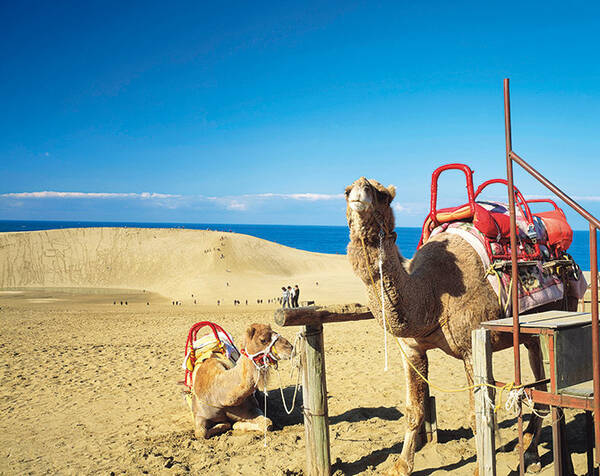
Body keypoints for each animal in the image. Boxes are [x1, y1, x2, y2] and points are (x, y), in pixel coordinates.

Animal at [344, 178, 580, 476]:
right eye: (346, 191)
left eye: (383, 196)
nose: (358, 193)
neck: (431, 294)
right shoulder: (412, 351)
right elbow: (413, 411)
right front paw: (401, 466)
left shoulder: (471, 348)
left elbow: (477, 415)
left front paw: (480, 468)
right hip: (530, 330)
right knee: (535, 379)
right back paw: (531, 452)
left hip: (566, 305)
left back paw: (537, 454)